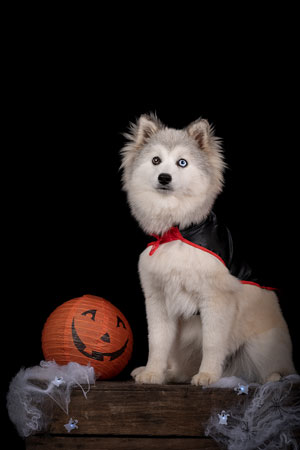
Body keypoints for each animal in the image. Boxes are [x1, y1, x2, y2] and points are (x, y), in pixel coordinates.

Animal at [119, 114, 296, 384]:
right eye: (155, 160)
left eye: (182, 163)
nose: (164, 177)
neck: (178, 232)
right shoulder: (158, 299)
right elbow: (157, 342)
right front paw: (153, 372)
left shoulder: (214, 299)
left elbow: (212, 343)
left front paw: (208, 375)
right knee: (179, 365)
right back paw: (169, 373)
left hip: (261, 345)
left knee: (274, 371)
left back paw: (271, 377)